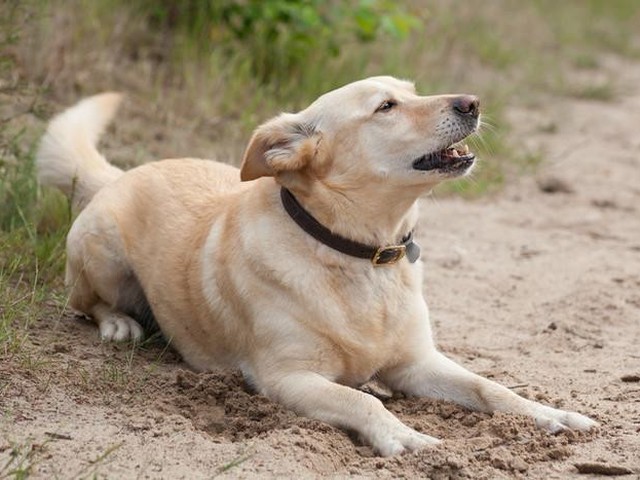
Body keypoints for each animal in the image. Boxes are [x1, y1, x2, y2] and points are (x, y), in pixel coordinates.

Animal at [37, 77, 596, 456]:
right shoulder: (287, 378)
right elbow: (365, 402)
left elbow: (491, 387)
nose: (473, 102)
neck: (361, 254)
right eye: (386, 107)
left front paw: (551, 415)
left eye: (412, 91)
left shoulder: (417, 363)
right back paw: (119, 324)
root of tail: (122, 174)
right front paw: (407, 438)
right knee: (84, 302)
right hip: (102, 252)